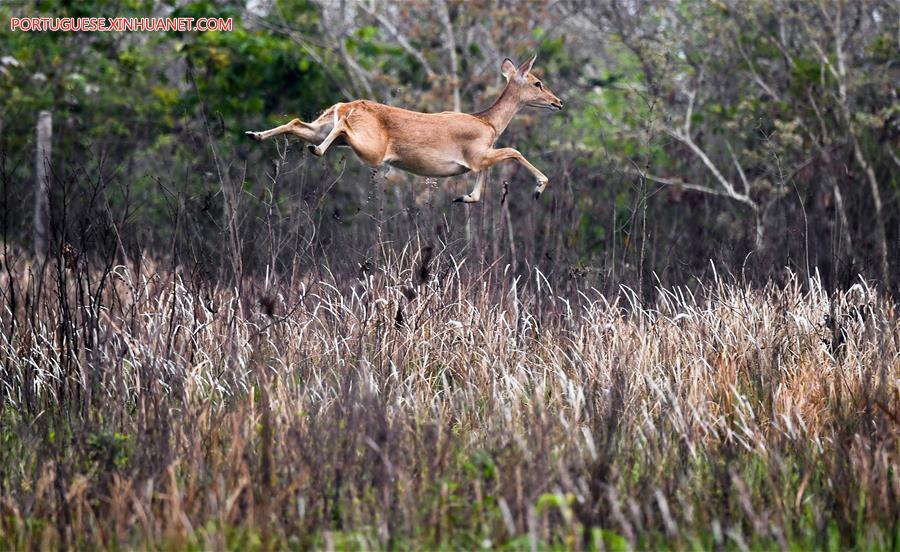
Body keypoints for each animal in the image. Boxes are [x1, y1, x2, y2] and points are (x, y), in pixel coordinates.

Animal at [243, 56, 560, 202]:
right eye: (538, 83)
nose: (558, 102)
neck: (489, 123)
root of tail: (346, 105)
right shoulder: (477, 153)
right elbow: (514, 151)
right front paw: (539, 188)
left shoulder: (478, 159)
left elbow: (482, 185)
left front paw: (464, 198)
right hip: (371, 147)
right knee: (340, 126)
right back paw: (315, 150)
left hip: (324, 126)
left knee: (298, 122)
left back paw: (255, 134)